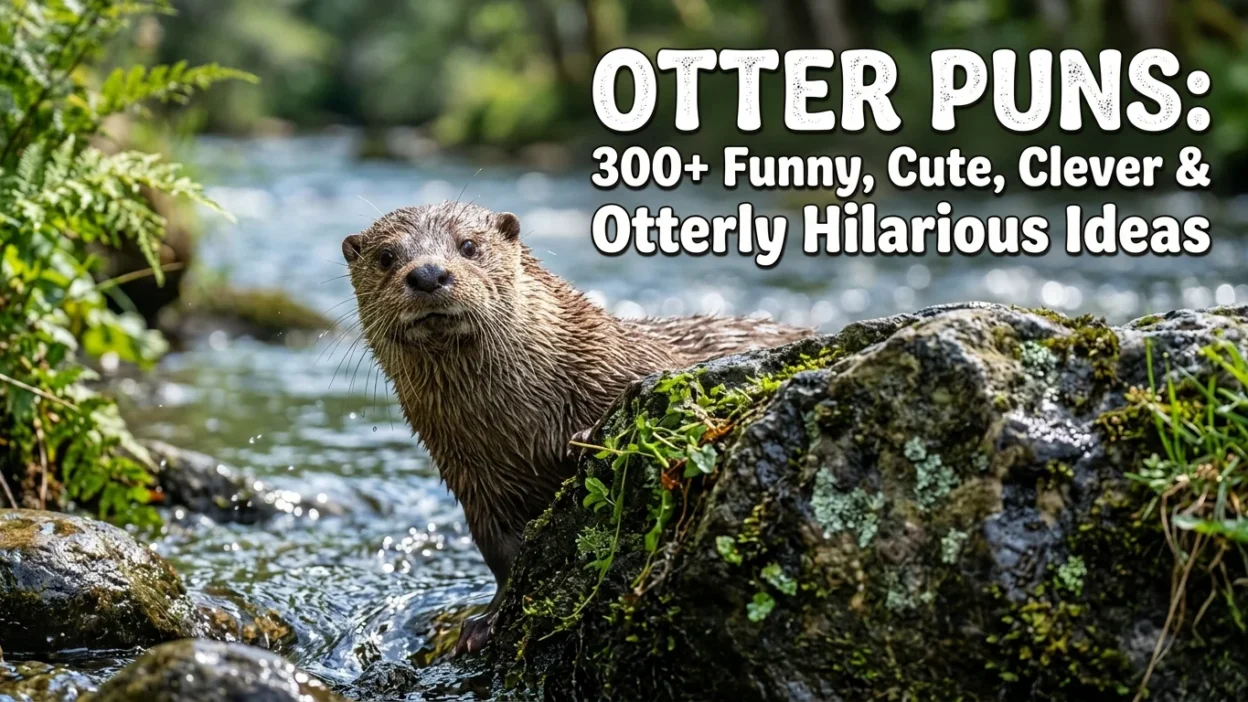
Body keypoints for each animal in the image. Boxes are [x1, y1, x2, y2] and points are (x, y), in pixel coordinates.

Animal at [343, 202, 811, 654]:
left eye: (469, 245)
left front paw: (589, 437)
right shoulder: (474, 481)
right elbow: (501, 555)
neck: (526, 427)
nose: (427, 273)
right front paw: (485, 621)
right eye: (386, 257)